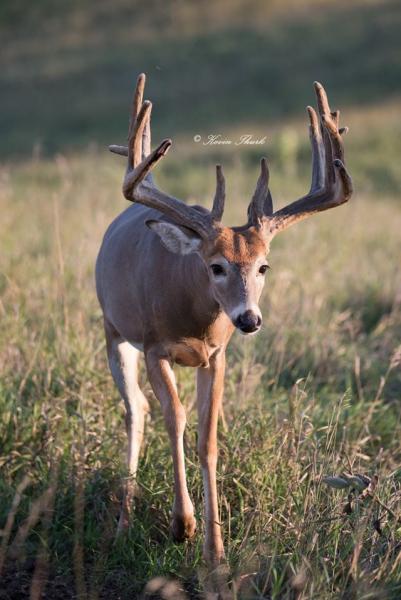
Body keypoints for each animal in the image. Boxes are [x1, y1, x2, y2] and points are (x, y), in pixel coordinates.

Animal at [95, 72, 352, 564]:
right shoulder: (155, 347)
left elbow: (207, 438)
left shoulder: (217, 355)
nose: (249, 319)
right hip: (113, 330)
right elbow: (174, 420)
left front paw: (215, 549)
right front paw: (183, 525)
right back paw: (120, 525)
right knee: (135, 410)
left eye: (264, 266)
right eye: (215, 266)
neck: (194, 319)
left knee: (142, 409)